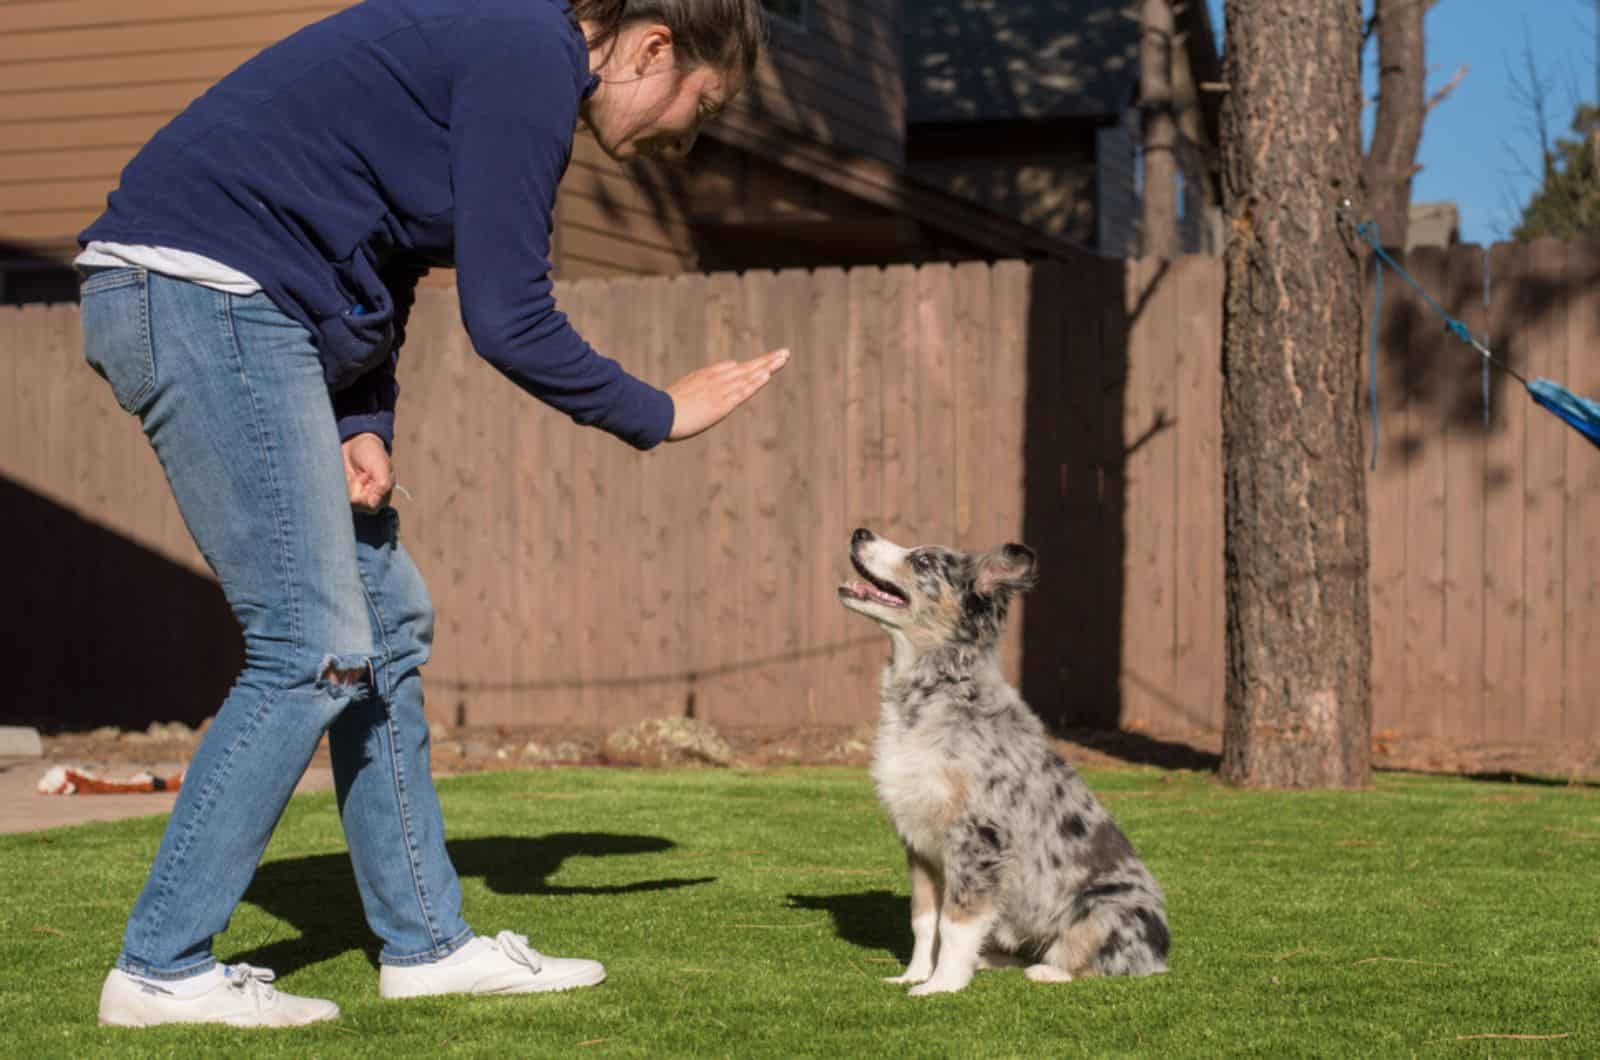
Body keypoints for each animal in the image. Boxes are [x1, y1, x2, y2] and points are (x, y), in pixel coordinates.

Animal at [838, 528, 1177, 999]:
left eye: (923, 562)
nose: (860, 533)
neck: (931, 696)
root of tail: (1162, 950)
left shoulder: (978, 839)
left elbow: (955, 922)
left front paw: (941, 985)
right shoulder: (918, 843)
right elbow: (924, 921)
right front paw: (914, 974)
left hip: (1109, 908)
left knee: (1109, 961)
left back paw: (1049, 971)